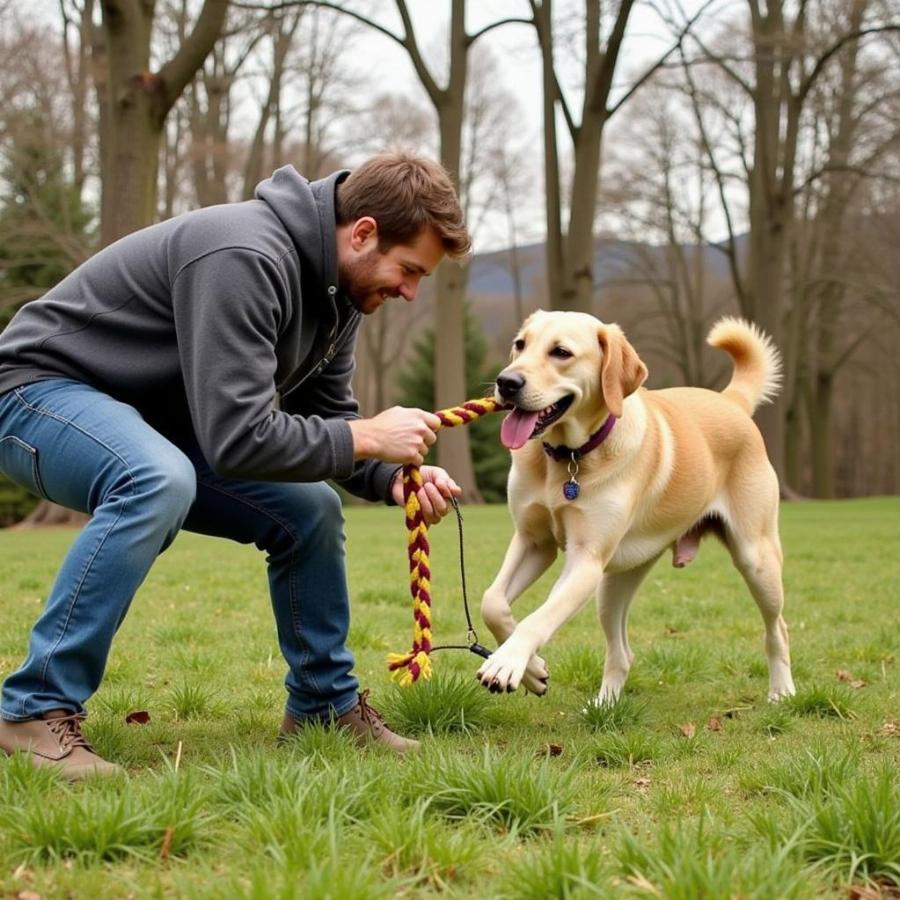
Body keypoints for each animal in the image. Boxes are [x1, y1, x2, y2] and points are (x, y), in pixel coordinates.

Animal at [478, 312, 796, 708]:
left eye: (561, 352)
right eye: (520, 345)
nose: (506, 382)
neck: (569, 459)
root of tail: (731, 401)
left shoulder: (586, 560)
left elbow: (540, 616)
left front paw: (508, 662)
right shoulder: (533, 542)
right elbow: (492, 602)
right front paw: (532, 670)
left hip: (757, 559)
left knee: (778, 628)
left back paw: (782, 690)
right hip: (614, 584)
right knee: (622, 653)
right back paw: (603, 707)